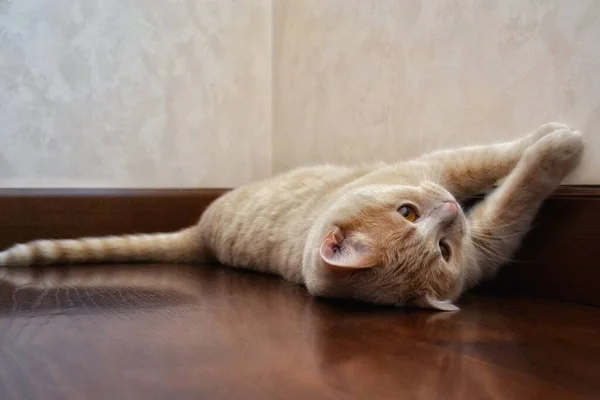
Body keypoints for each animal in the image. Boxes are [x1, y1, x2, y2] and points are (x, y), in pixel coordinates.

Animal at [0, 123, 584, 310]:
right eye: (409, 213)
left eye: (443, 248)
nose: (449, 210)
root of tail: (202, 234)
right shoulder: (460, 195)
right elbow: (506, 178)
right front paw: (558, 143)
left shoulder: (464, 215)